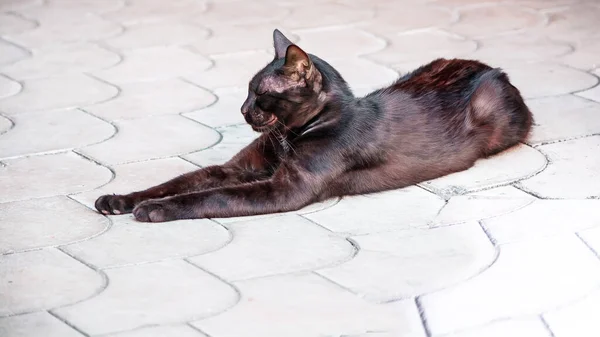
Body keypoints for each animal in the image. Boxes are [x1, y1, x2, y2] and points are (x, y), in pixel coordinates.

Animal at [96, 28, 532, 220]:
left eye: (259, 94)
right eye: (248, 90)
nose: (242, 109)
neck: (288, 137)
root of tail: (493, 68)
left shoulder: (283, 189)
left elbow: (205, 198)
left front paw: (153, 210)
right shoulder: (235, 169)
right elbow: (177, 183)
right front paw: (121, 200)